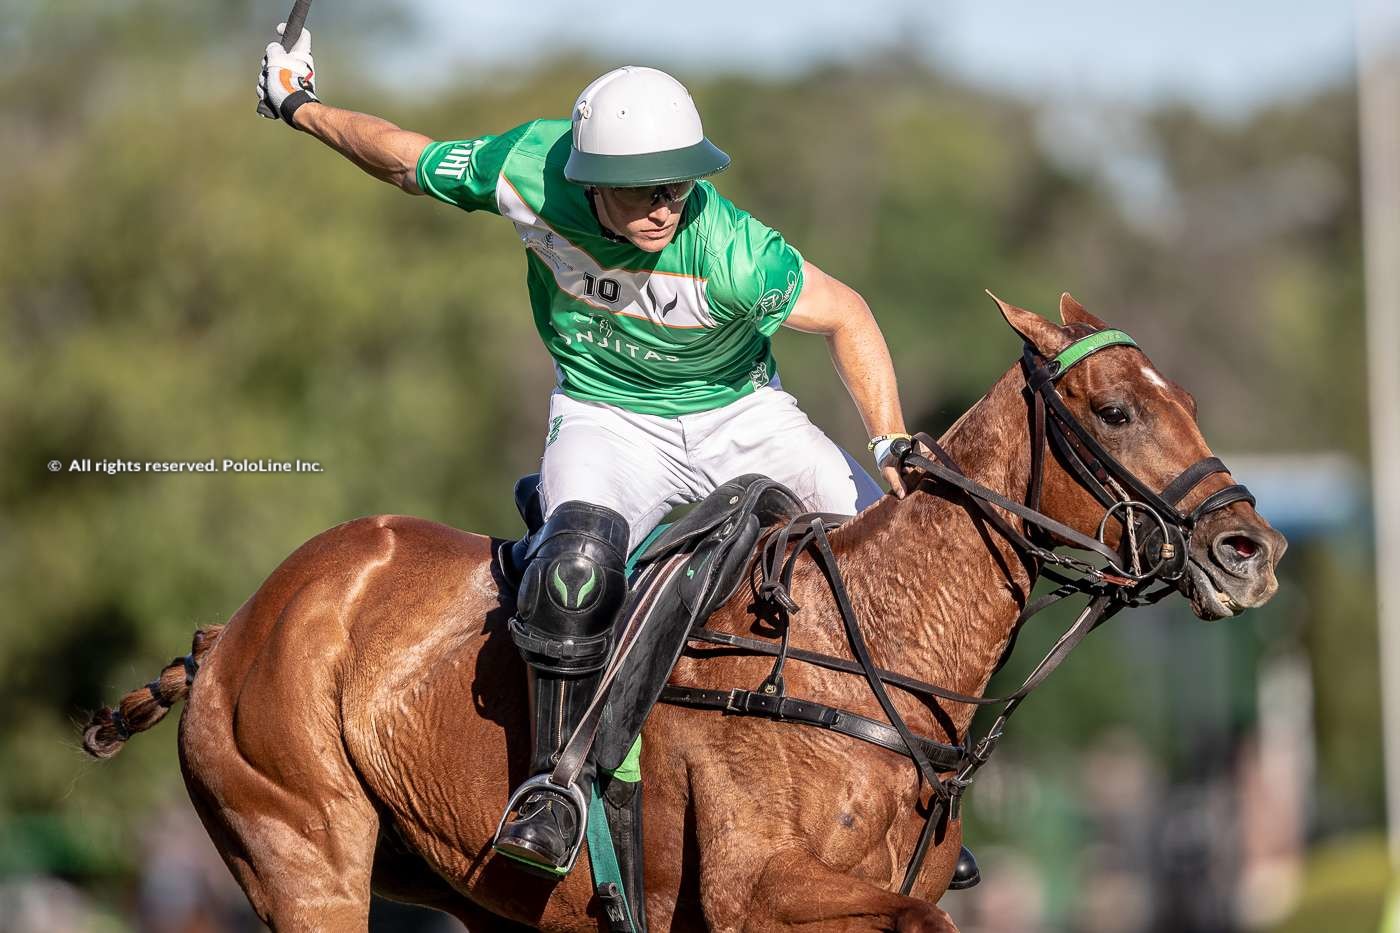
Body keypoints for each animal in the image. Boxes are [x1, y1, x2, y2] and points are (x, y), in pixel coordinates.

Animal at [84, 292, 1282, 930]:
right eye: (1116, 410)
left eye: (1184, 399)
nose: (1251, 550)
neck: (864, 655)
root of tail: (227, 632)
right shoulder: (759, 893)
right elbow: (917, 913)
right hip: (305, 857)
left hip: (472, 891)